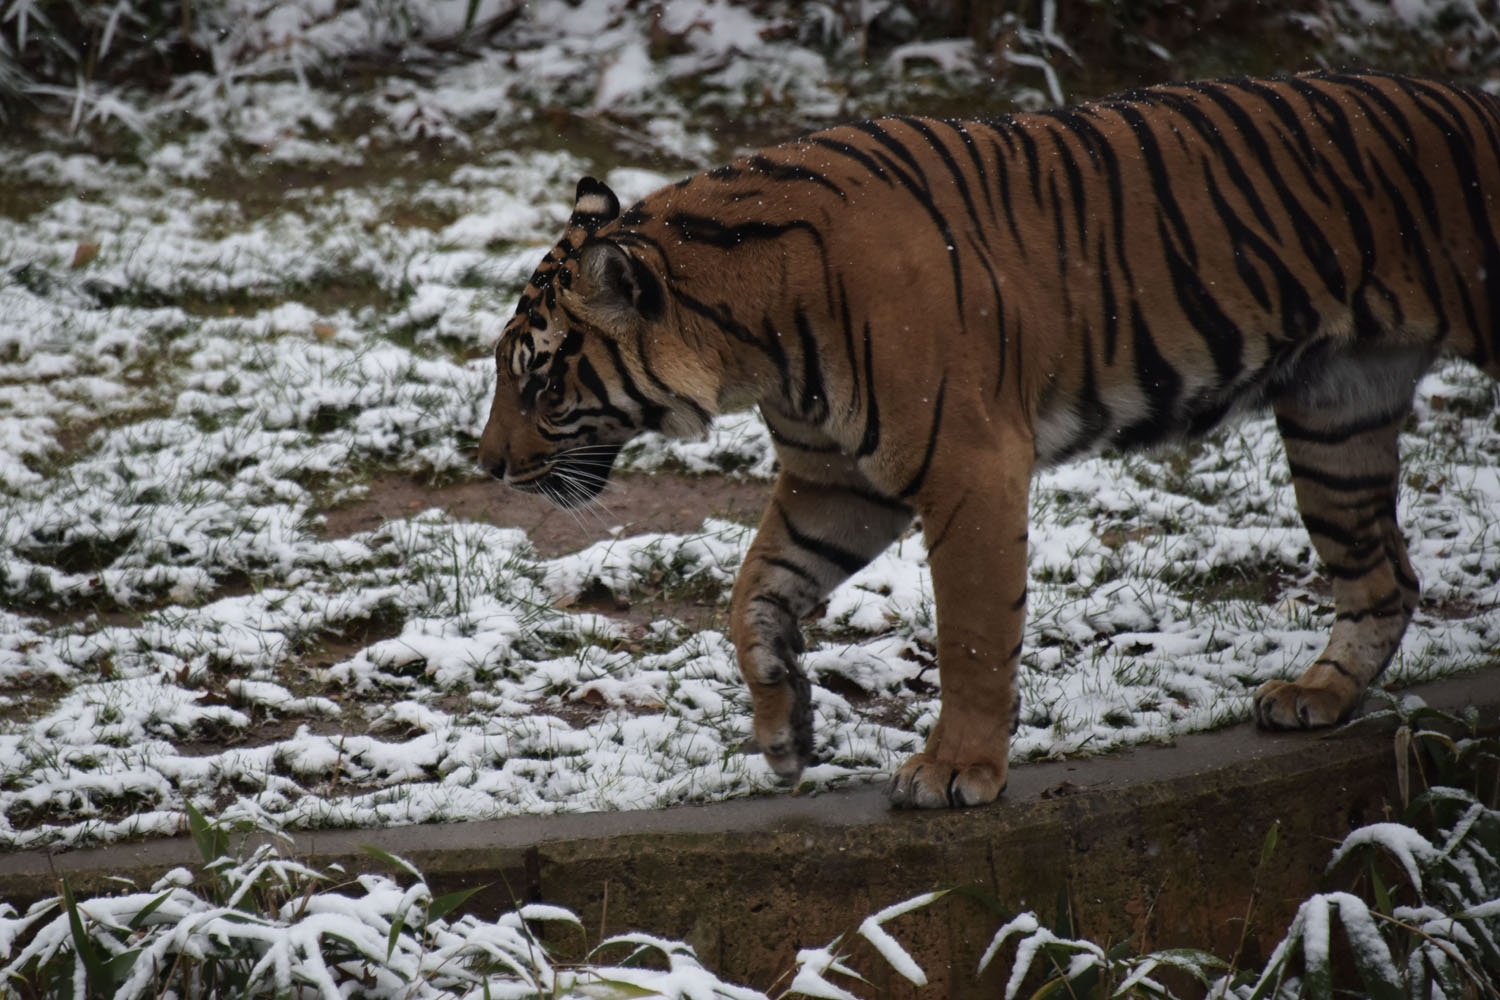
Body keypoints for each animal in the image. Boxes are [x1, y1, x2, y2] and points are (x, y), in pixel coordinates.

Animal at [477, 68, 1500, 803]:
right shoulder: (835, 483)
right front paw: (783, 728)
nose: (485, 465)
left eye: (538, 378)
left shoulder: (966, 469)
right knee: (1384, 574)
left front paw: (953, 770)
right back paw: (1317, 697)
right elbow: (750, 594)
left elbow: (970, 633)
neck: (751, 335)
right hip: (1338, 413)